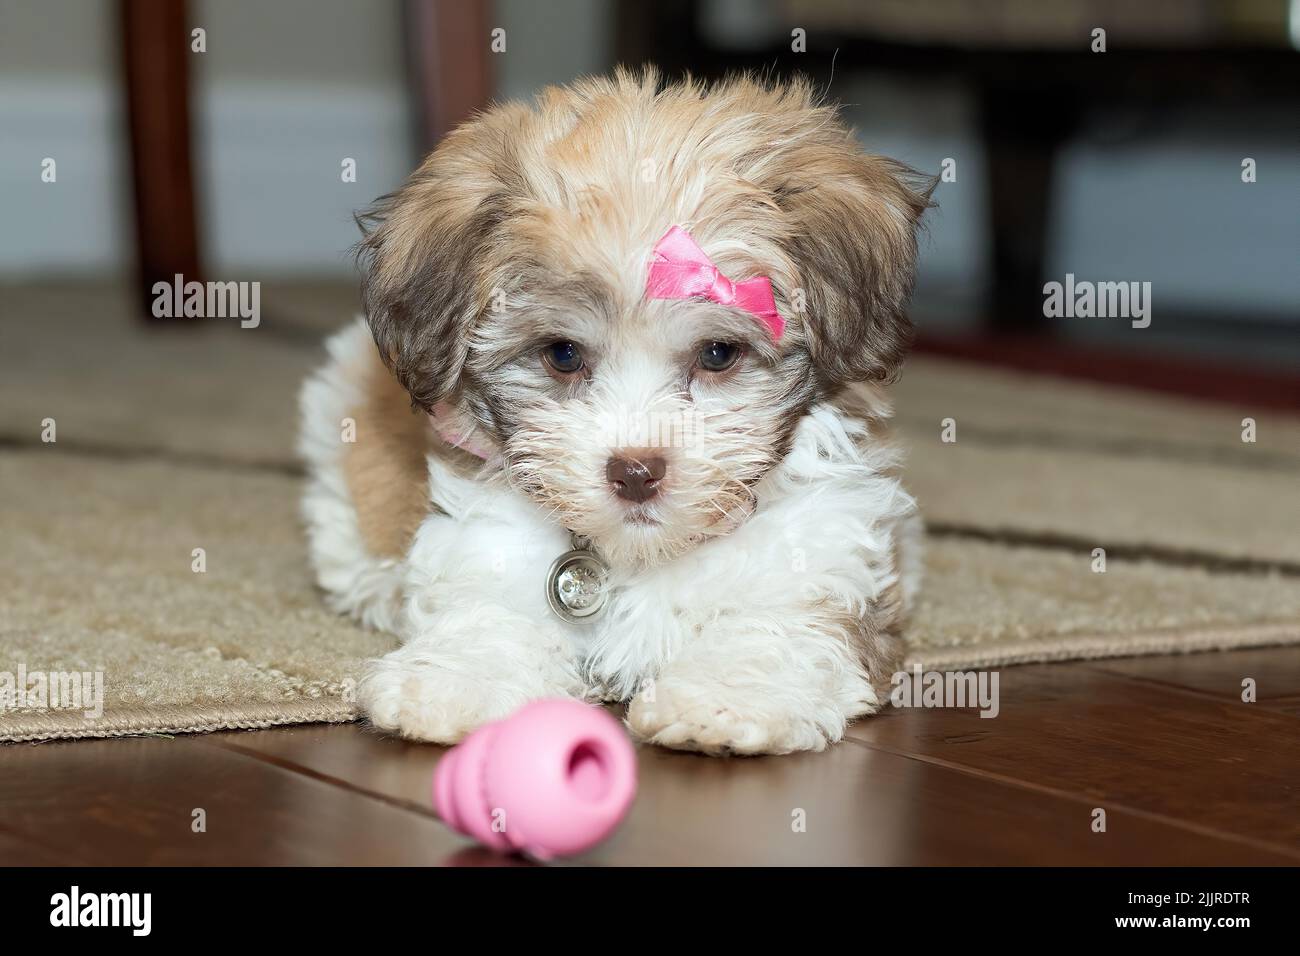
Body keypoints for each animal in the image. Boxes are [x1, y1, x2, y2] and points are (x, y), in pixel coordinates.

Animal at [301, 69, 935, 754]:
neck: (640, 555)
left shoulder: (819, 557)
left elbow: (777, 630)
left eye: (718, 353)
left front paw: (723, 698)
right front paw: (451, 682)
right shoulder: (486, 551)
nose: (635, 473)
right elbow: (488, 618)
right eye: (562, 353)